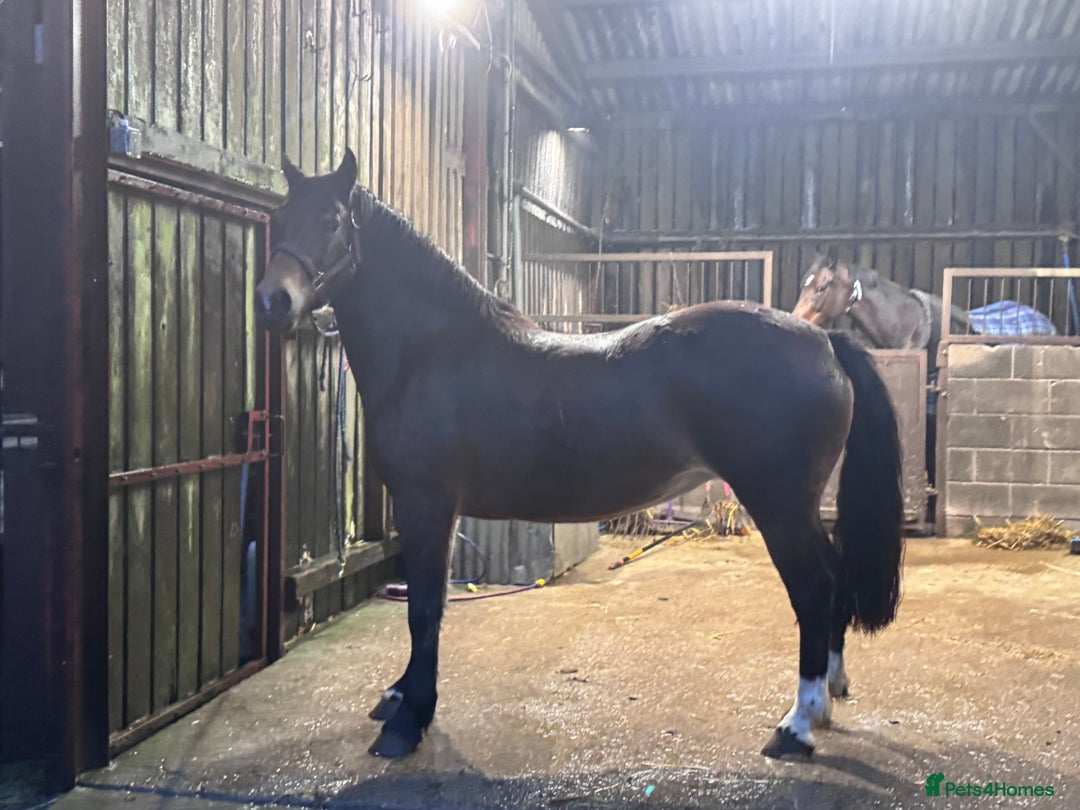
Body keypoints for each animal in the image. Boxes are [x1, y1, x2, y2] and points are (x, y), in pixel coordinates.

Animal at [254, 151, 904, 761]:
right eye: (280, 218)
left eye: (332, 221)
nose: (271, 302)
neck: (433, 352)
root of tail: (824, 340)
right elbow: (424, 603)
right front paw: (399, 695)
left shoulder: (427, 504)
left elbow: (426, 609)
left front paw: (409, 720)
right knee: (833, 578)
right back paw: (829, 693)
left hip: (779, 504)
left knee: (814, 587)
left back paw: (797, 724)